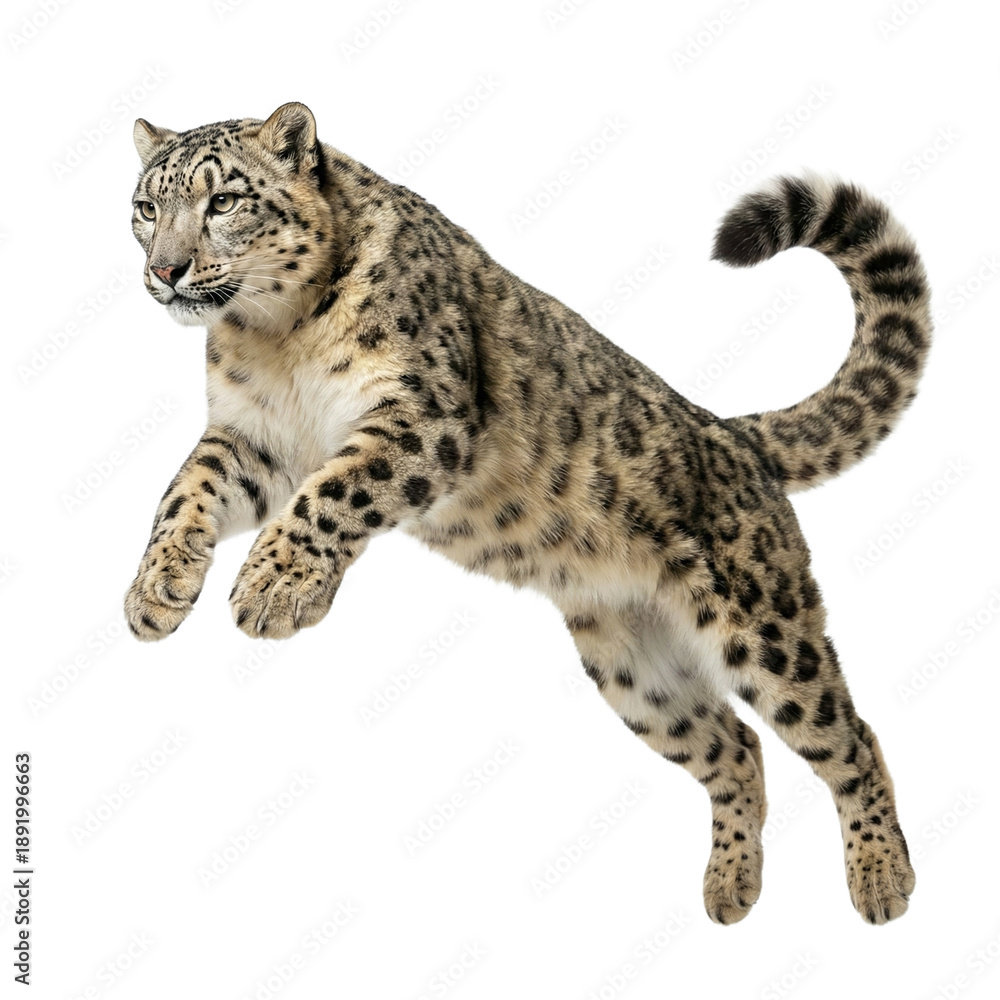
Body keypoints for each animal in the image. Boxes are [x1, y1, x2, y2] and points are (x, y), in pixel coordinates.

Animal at [124, 102, 930, 924]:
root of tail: (733, 433)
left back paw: (881, 879)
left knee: (848, 735)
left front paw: (270, 591)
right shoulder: (251, 440)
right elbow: (185, 492)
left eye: (223, 201)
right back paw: (730, 886)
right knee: (735, 747)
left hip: (765, 629)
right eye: (146, 208)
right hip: (636, 673)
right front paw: (156, 591)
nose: (165, 270)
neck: (274, 336)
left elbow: (331, 495)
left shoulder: (422, 418)